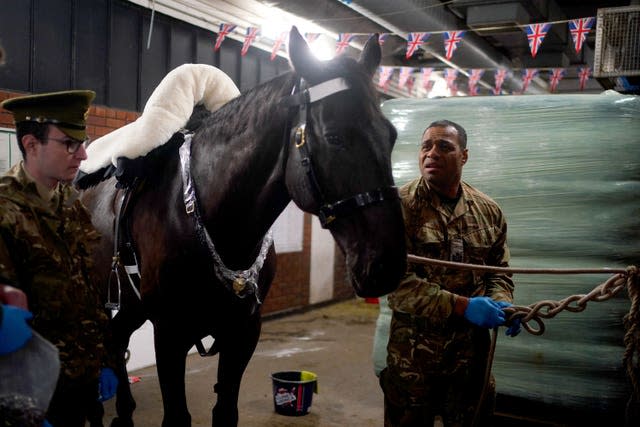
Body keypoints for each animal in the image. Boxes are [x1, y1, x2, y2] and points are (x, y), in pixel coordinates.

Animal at [79, 27, 404, 427]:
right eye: (334, 137)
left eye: (391, 135)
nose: (387, 264)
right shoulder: (169, 333)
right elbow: (178, 416)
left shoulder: (243, 332)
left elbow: (226, 411)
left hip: (130, 307)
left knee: (116, 341)